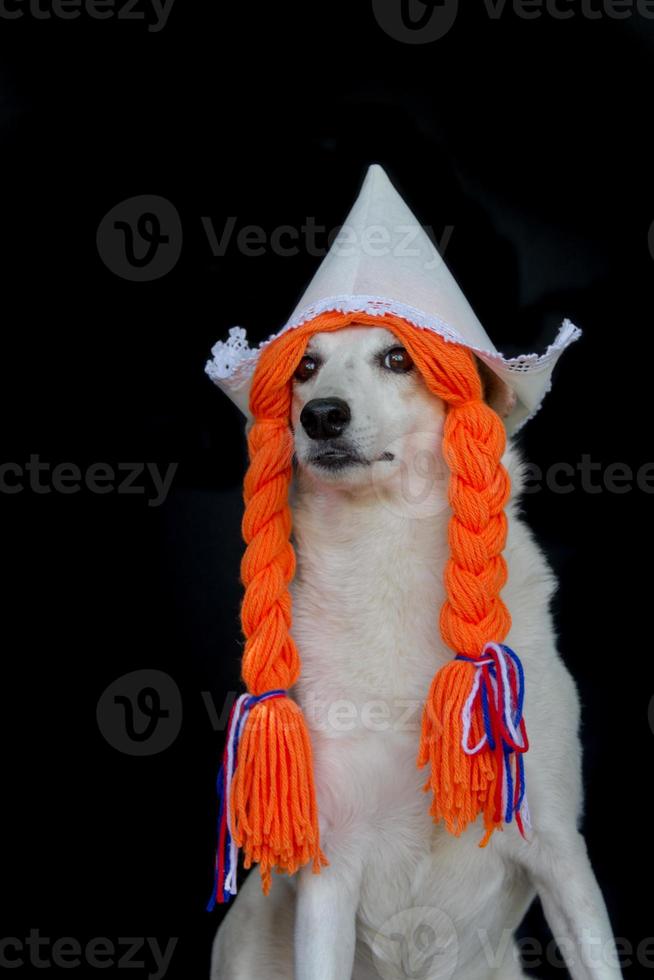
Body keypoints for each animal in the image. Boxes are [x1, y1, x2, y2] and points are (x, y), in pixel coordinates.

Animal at [211, 326, 624, 976]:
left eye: (398, 357)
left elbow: (597, 955)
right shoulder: (333, 864)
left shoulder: (559, 847)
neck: (388, 543)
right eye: (305, 367)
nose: (320, 415)